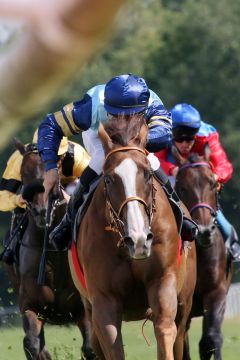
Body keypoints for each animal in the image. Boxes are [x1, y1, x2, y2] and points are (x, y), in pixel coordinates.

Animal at [6, 141, 95, 360]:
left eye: (49, 169)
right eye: (23, 174)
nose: (40, 211)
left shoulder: (83, 310)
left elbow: (91, 347)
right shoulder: (31, 306)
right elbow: (33, 345)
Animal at [68, 116, 196, 358]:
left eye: (147, 174)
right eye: (109, 179)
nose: (138, 240)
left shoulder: (163, 282)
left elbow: (165, 331)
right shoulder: (103, 300)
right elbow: (112, 344)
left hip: (184, 303)